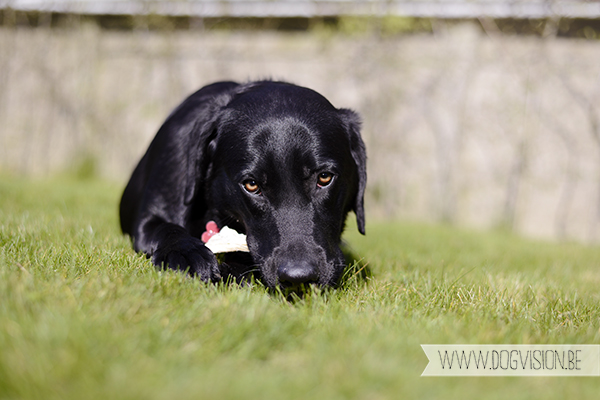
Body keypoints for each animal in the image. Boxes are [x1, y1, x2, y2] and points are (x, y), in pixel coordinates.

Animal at [120, 81, 366, 288]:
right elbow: (165, 228)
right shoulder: (149, 218)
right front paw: (187, 254)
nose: (299, 277)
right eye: (251, 185)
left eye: (324, 177)